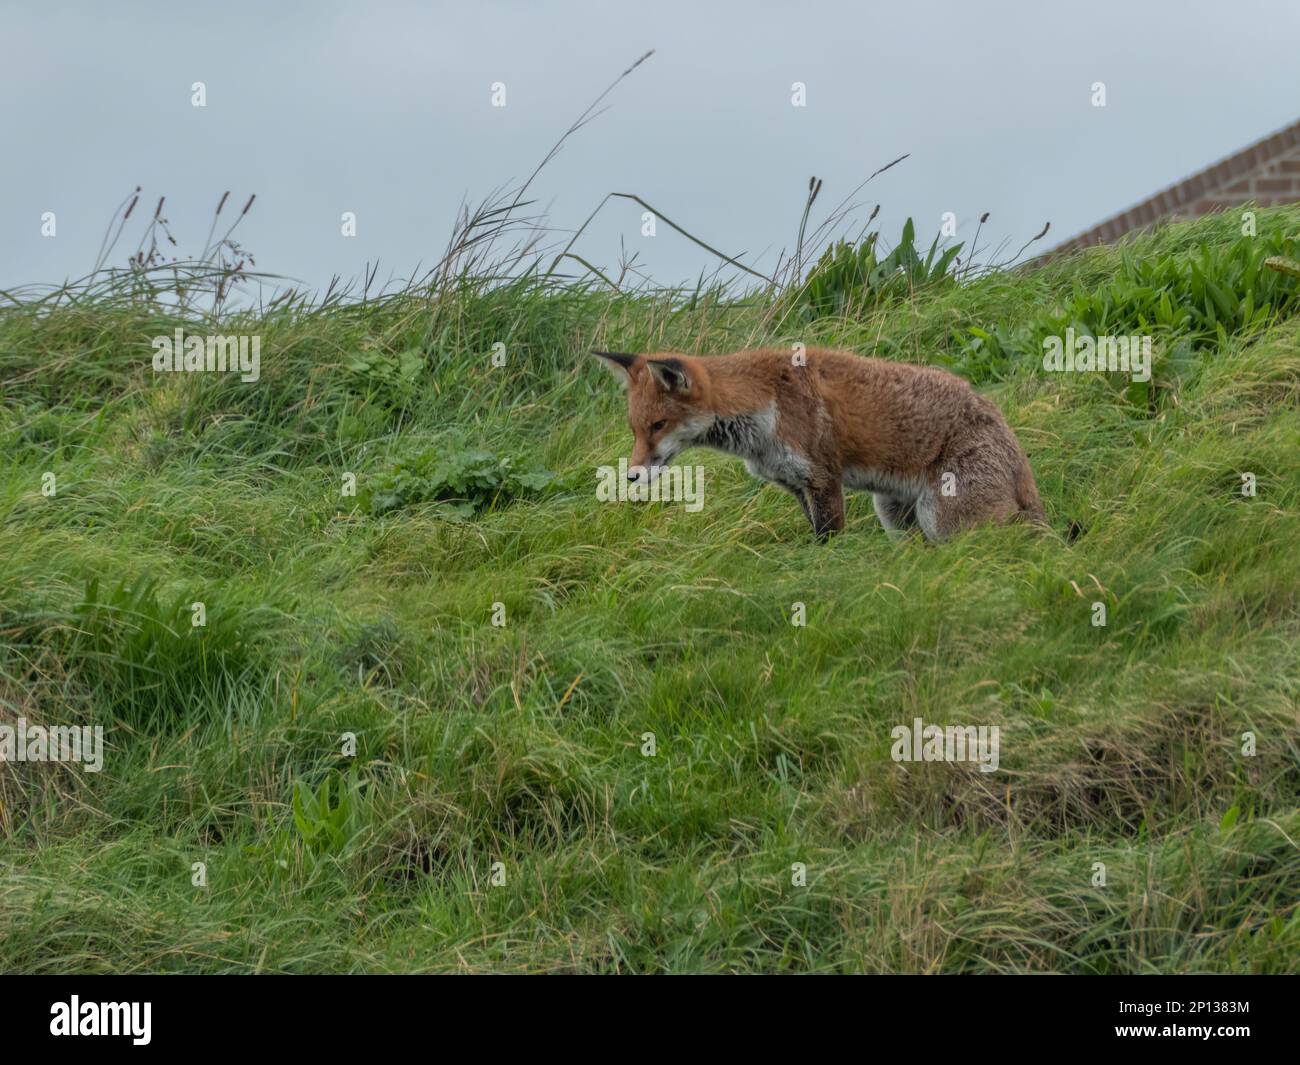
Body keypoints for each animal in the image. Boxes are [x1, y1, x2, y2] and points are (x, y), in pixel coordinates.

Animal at [595, 348, 1050, 546]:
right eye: (635, 430)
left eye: (658, 426)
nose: (632, 475)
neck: (763, 408)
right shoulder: (795, 484)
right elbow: (814, 533)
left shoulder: (822, 477)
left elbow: (827, 539)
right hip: (894, 513)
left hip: (942, 516)